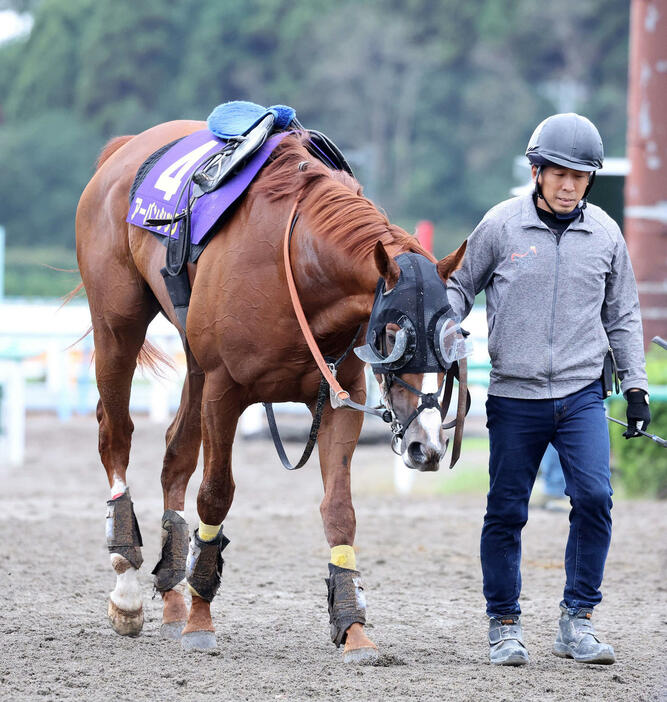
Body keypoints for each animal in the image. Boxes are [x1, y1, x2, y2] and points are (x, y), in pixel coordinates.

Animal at [74, 118, 470, 664]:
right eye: (392, 335)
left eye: (455, 334)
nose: (425, 447)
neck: (299, 271)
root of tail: (123, 150)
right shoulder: (224, 392)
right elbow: (216, 497)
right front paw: (201, 618)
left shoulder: (340, 400)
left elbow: (339, 511)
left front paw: (353, 629)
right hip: (118, 328)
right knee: (115, 435)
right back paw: (128, 590)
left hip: (192, 362)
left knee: (175, 456)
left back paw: (172, 599)